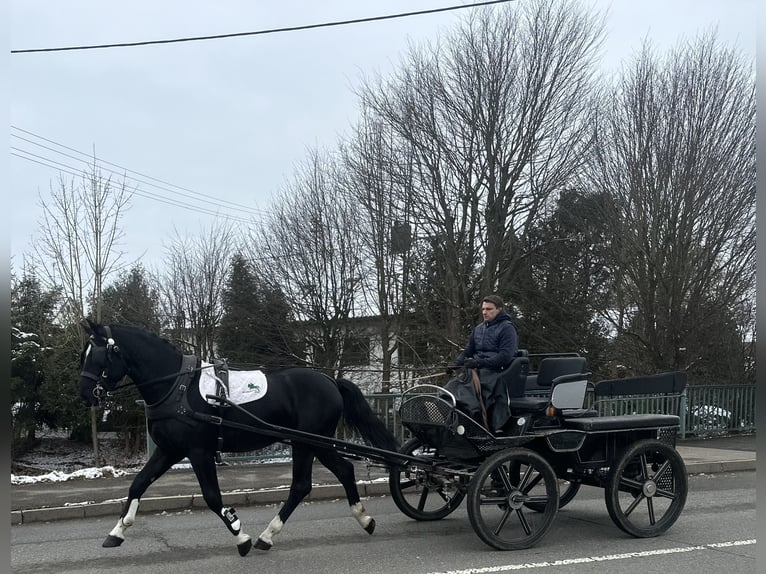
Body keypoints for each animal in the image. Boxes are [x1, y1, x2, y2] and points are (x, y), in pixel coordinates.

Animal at [78, 320, 402, 560]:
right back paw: (364, 520)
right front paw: (117, 531)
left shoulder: (198, 451)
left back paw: (267, 535)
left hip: (307, 442)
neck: (177, 387)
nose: (84, 394)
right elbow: (138, 484)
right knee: (342, 471)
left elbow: (212, 497)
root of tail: (331, 381)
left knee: (301, 485)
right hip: (316, 443)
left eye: (97, 354)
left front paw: (240, 534)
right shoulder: (169, 450)